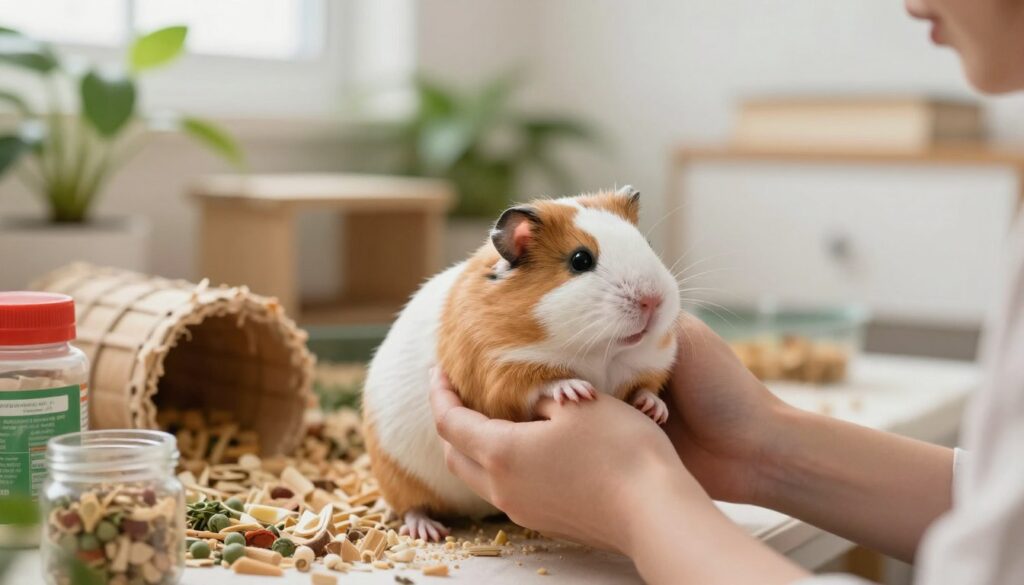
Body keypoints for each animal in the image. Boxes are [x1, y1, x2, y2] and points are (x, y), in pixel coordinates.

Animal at [361, 186, 681, 540]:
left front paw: (655, 410)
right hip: (398, 477)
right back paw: (429, 531)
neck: (601, 353)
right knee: (411, 507)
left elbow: (646, 388)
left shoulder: (652, 363)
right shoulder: (497, 373)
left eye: (647, 244)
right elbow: (539, 384)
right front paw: (576, 391)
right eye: (581, 260)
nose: (653, 300)